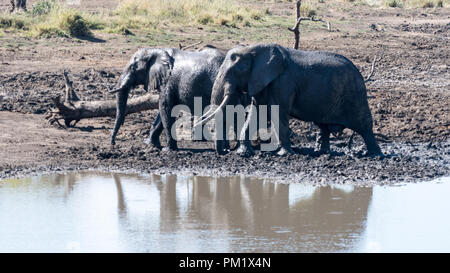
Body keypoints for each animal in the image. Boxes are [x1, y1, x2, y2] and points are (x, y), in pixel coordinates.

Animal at [110, 45, 248, 150]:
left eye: (133, 68)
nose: (113, 143)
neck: (157, 50)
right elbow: (162, 112)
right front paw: (150, 144)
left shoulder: (168, 81)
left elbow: (166, 109)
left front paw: (167, 150)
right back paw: (230, 148)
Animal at [195, 43, 382, 156]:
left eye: (235, 71)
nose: (224, 152)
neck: (254, 48)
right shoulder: (263, 82)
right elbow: (257, 114)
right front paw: (243, 153)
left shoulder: (283, 82)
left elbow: (278, 113)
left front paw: (284, 154)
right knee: (323, 126)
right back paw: (321, 153)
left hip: (355, 94)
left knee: (364, 125)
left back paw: (374, 155)